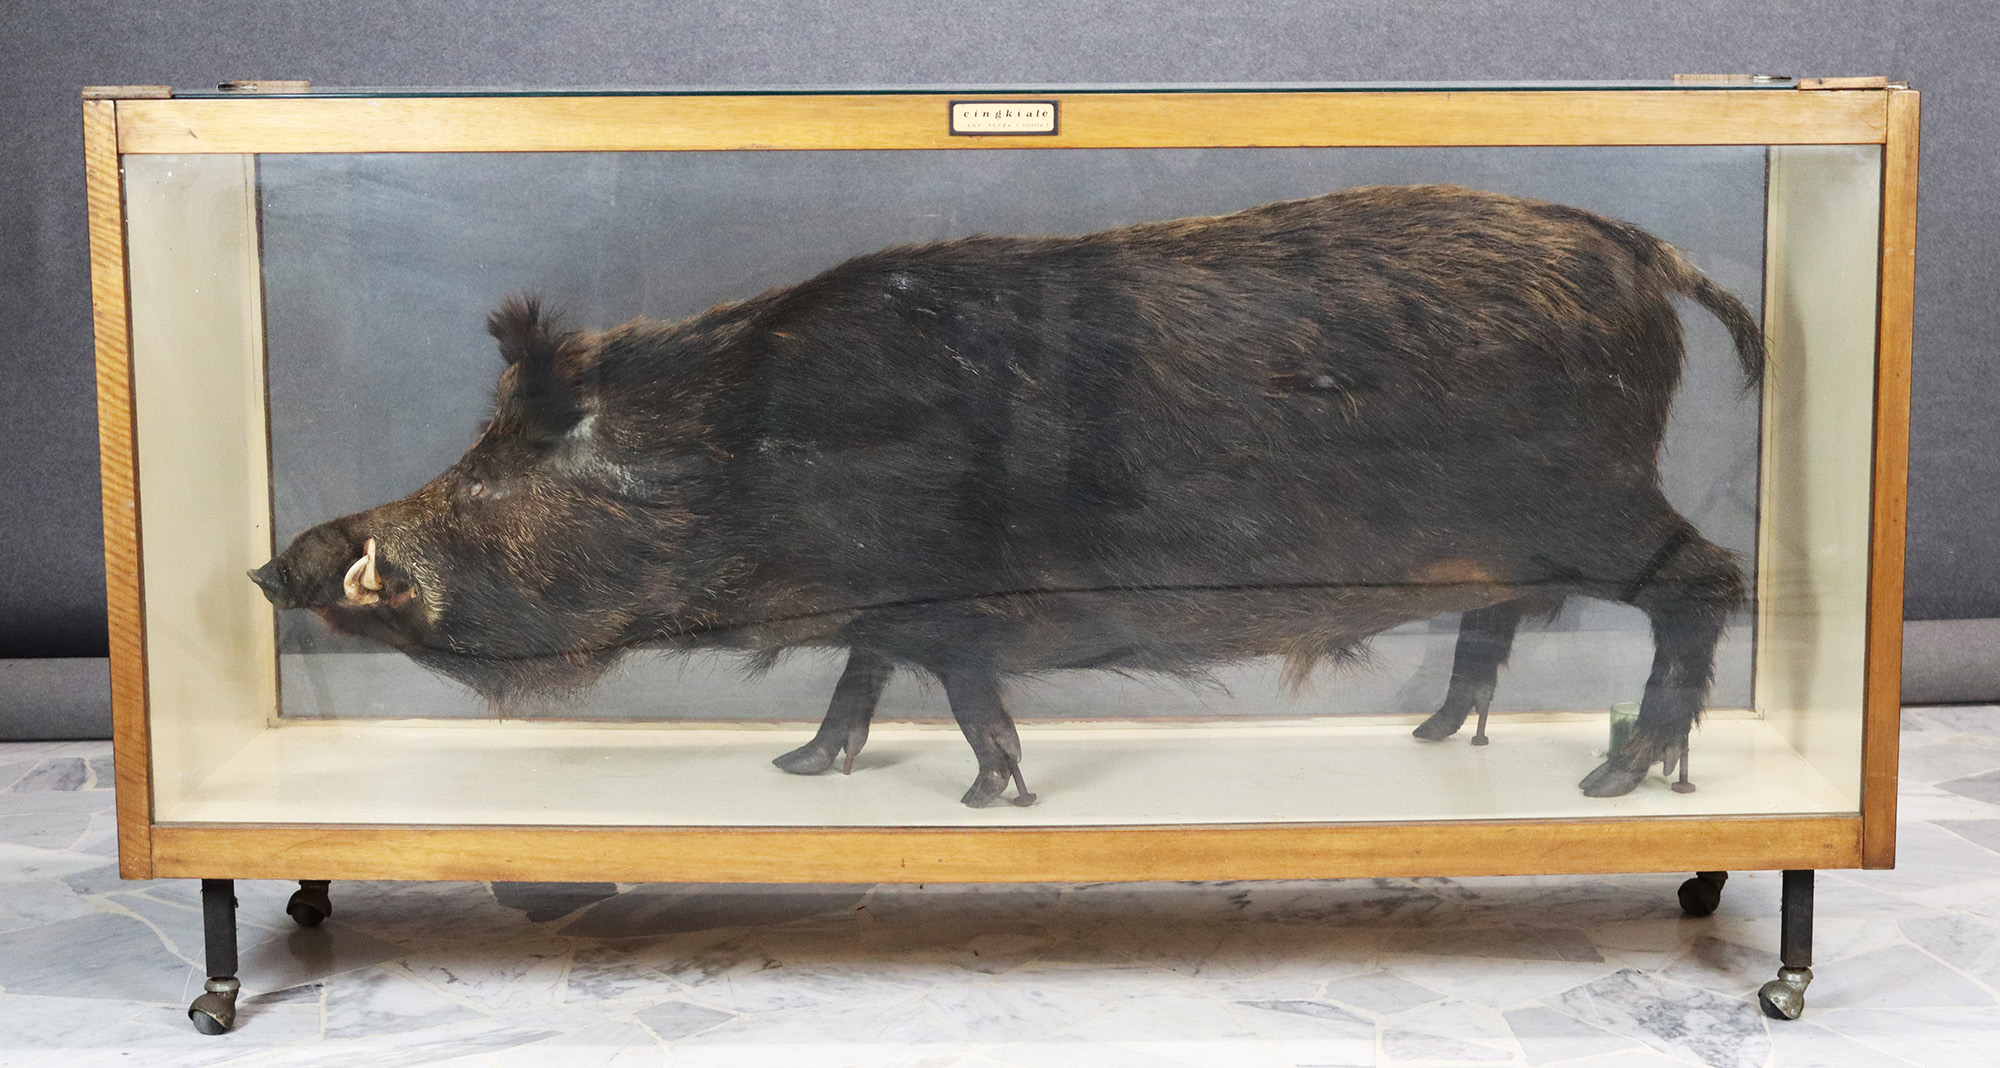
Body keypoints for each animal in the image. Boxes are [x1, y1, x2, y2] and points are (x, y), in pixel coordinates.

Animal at [249, 184, 1764, 807]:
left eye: (506, 462)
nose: (280, 561)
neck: (741, 460)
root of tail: (1647, 254)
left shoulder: (945, 597)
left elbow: (965, 693)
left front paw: (991, 804)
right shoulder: (881, 610)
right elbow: (861, 677)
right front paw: (799, 769)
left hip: (1600, 504)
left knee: (1713, 583)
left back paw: (1616, 776)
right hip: (1502, 538)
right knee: (1496, 622)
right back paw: (1436, 740)